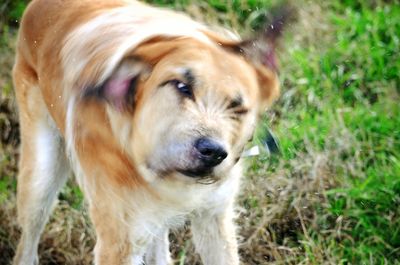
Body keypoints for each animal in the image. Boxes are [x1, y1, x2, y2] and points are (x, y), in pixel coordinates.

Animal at [12, 0, 282, 264]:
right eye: (182, 87)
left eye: (237, 107)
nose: (214, 152)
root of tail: (36, 6)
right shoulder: (119, 243)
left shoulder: (214, 217)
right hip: (40, 179)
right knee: (27, 241)